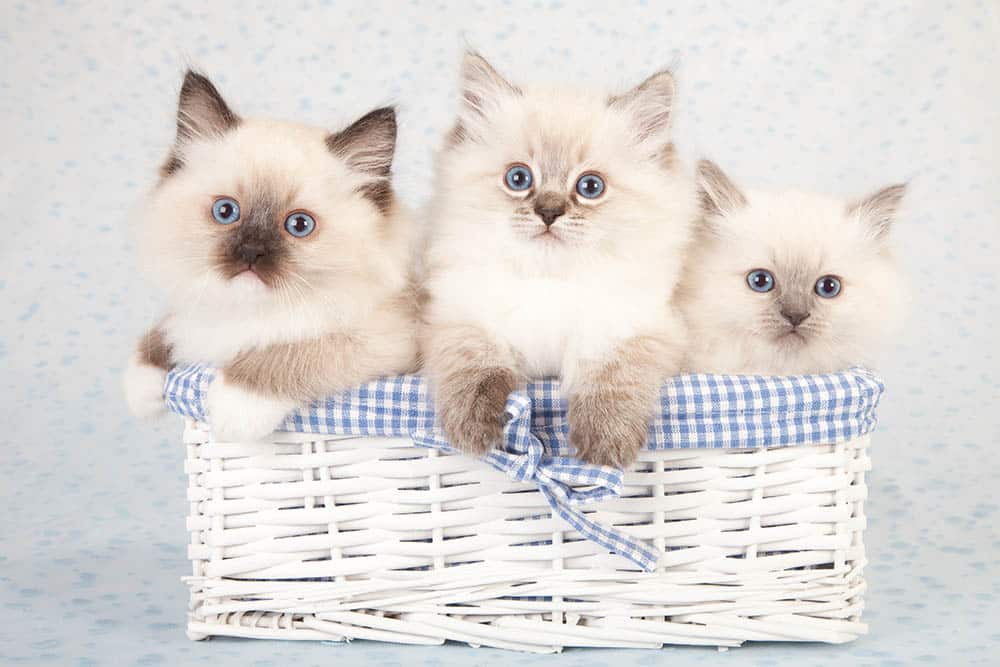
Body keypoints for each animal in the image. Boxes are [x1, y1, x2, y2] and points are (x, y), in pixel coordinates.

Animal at [123, 70, 416, 440]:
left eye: (299, 225)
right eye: (226, 212)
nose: (251, 253)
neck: (250, 316)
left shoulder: (388, 340)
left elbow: (292, 352)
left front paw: (232, 409)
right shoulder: (190, 319)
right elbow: (162, 331)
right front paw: (141, 386)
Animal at [420, 53, 696, 470]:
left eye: (590, 187)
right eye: (519, 178)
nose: (549, 213)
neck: (549, 281)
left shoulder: (633, 329)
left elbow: (612, 378)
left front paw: (604, 446)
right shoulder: (458, 318)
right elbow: (476, 367)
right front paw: (474, 430)